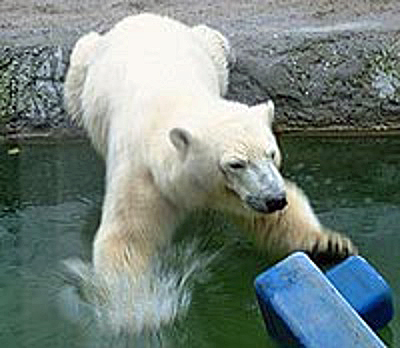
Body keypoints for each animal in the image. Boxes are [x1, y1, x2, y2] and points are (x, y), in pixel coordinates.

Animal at [64, 13, 354, 286]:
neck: (177, 101)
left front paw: (328, 246)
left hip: (209, 47)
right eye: (236, 164)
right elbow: (129, 235)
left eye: (271, 154)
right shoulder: (143, 176)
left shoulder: (241, 194)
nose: (275, 199)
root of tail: (140, 17)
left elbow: (272, 219)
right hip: (84, 63)